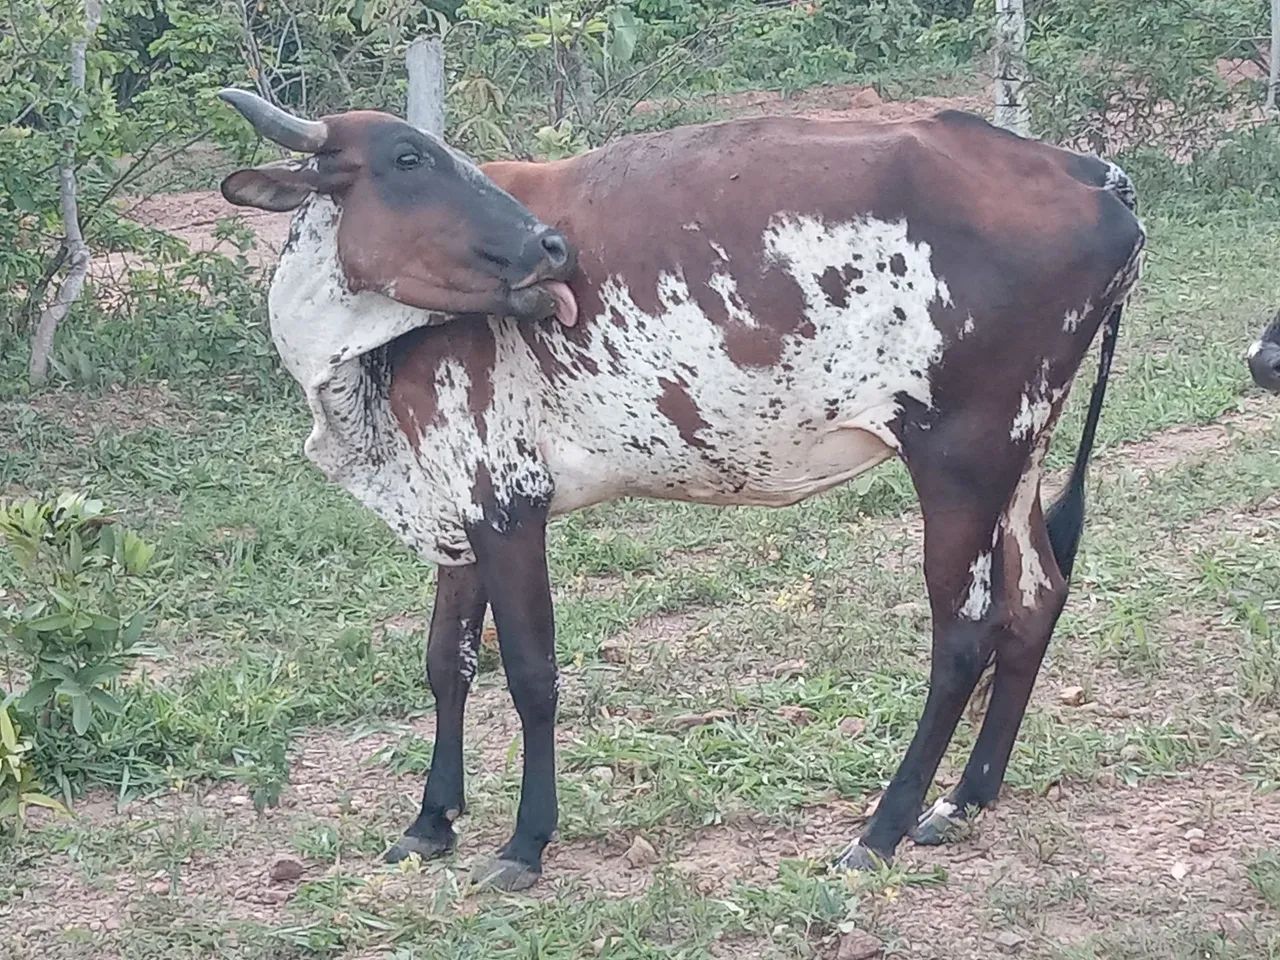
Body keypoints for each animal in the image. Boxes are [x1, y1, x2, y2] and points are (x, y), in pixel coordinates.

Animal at [219, 90, 1146, 891]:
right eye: (410, 158)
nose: (554, 250)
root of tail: (1091, 172)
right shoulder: (457, 499)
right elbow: (447, 664)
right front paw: (430, 822)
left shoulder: (508, 502)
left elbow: (530, 672)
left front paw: (524, 842)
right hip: (1021, 450)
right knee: (1037, 598)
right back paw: (965, 798)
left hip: (959, 459)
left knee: (965, 632)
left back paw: (882, 827)